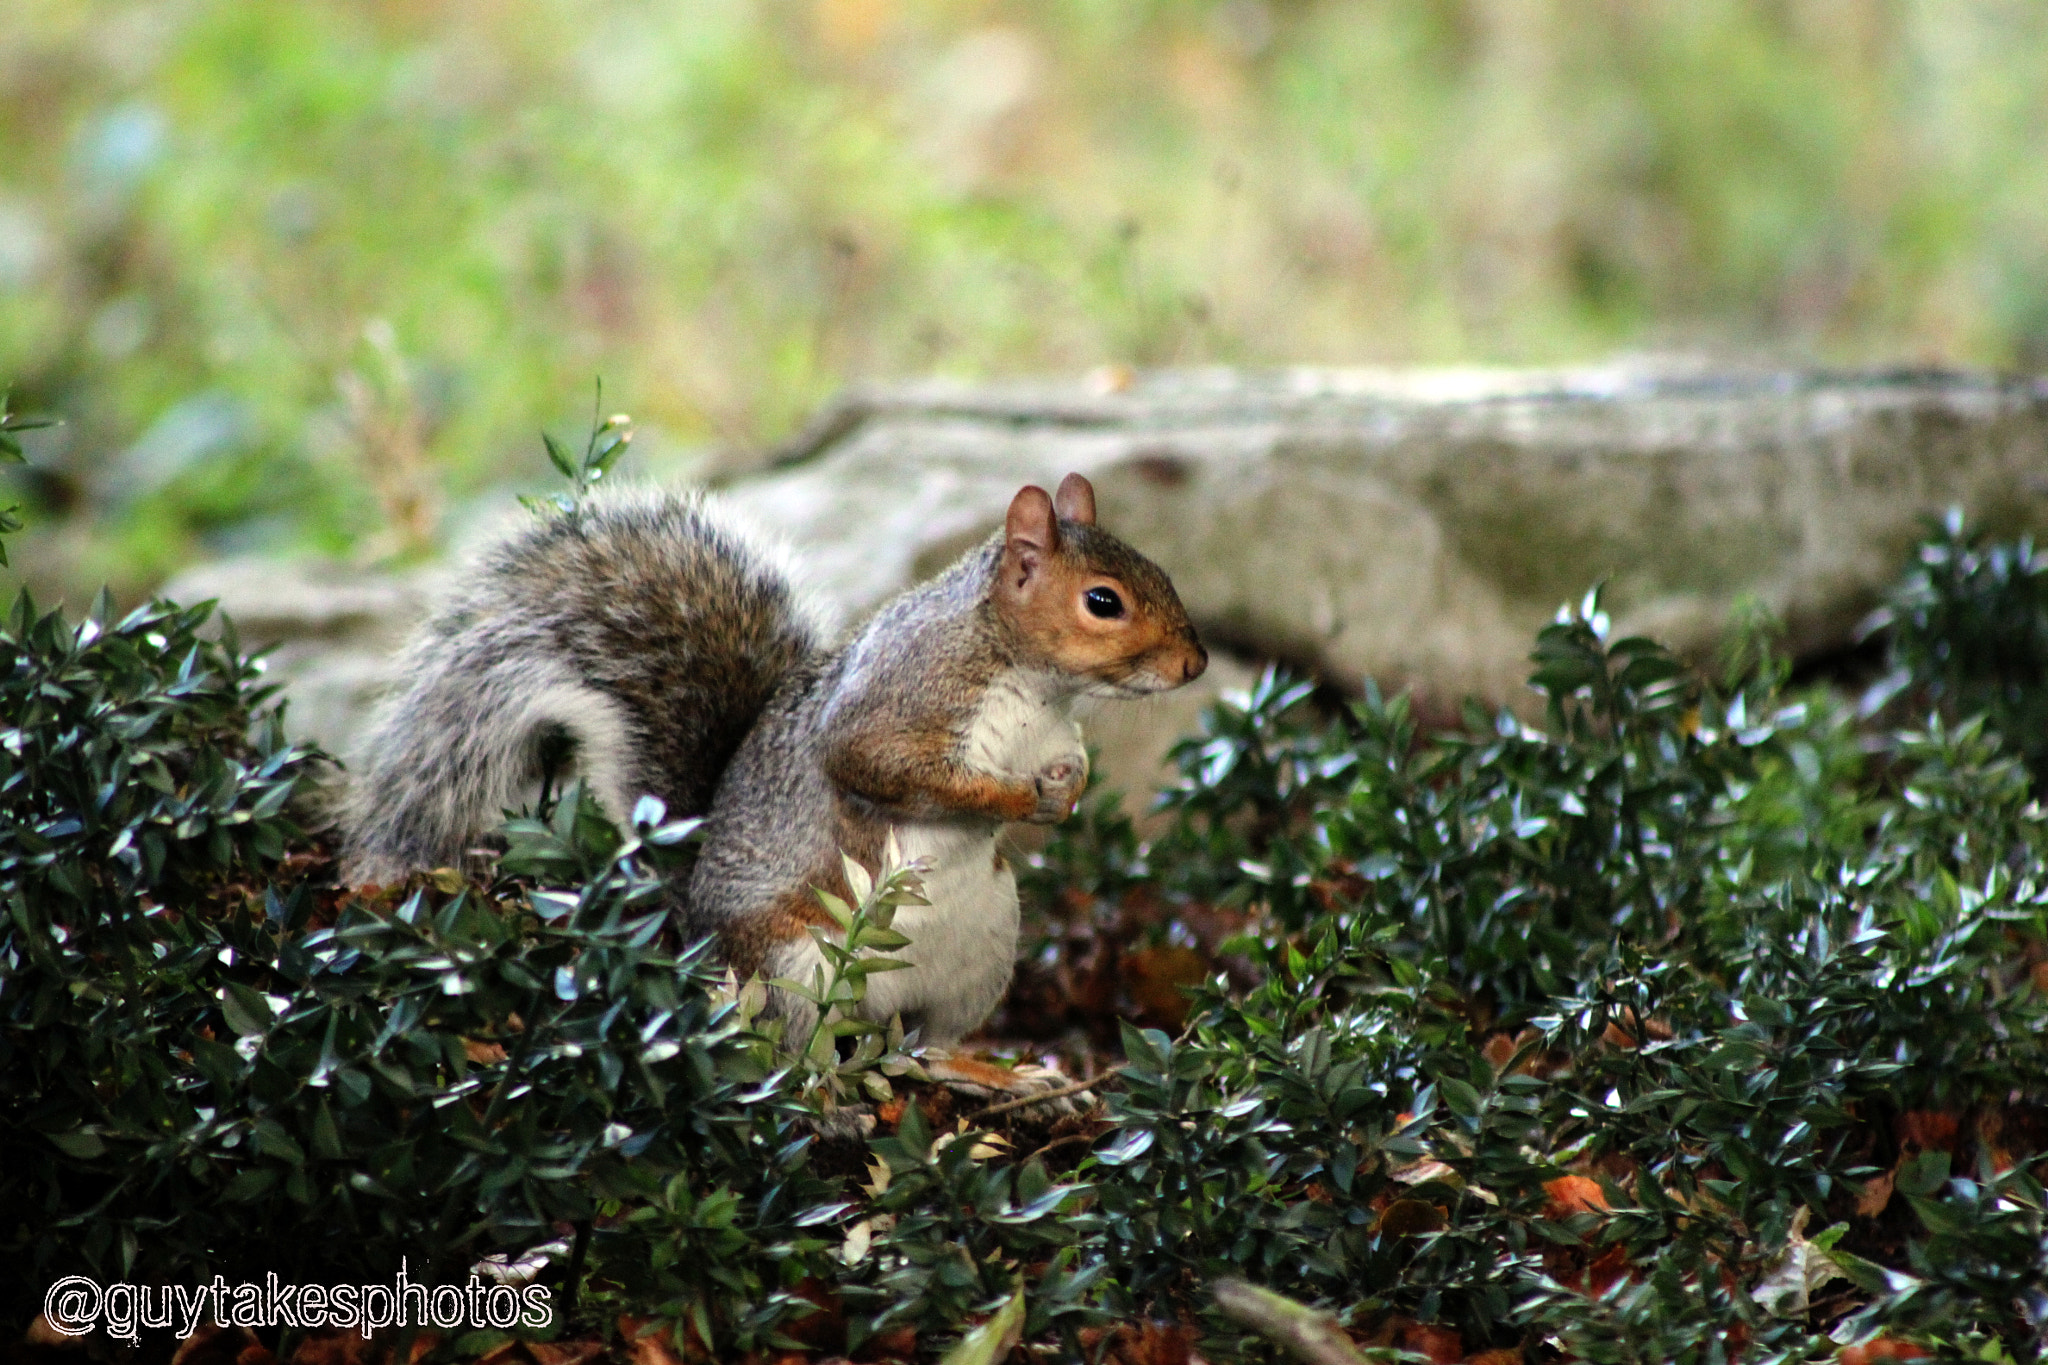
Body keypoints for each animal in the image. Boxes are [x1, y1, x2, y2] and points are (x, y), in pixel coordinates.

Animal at [333, 474, 1196, 1039]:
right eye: (1103, 601)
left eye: (1164, 571)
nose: (1195, 665)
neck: (1029, 680)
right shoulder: (900, 701)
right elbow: (884, 768)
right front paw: (1014, 799)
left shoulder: (1056, 731)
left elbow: (1071, 760)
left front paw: (1068, 790)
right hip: (793, 961)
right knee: (793, 1049)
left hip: (982, 958)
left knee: (927, 1038)